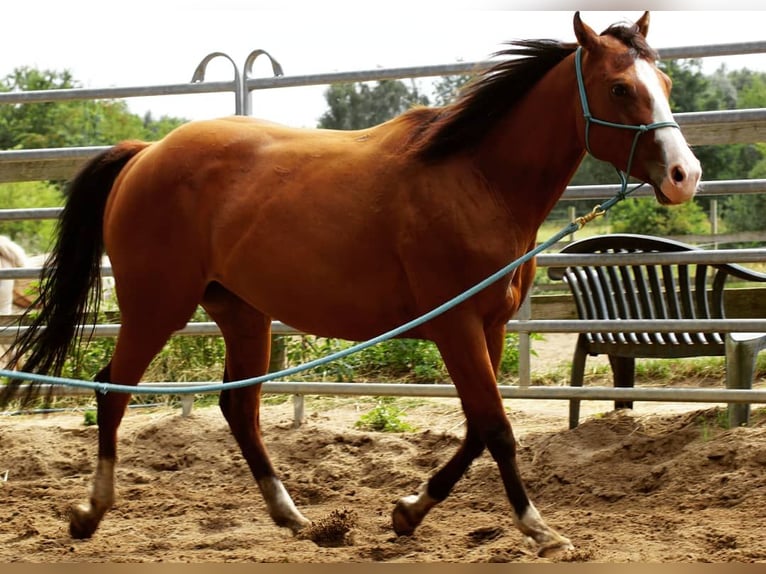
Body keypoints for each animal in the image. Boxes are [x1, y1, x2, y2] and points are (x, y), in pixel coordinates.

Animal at [0, 11, 704, 556]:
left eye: (666, 81)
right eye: (620, 87)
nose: (684, 175)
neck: (475, 179)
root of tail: (144, 154)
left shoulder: (491, 327)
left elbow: (480, 428)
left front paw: (408, 511)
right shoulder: (454, 325)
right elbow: (497, 428)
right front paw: (540, 530)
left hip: (242, 312)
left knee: (238, 408)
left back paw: (294, 518)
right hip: (157, 305)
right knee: (111, 390)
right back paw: (90, 513)